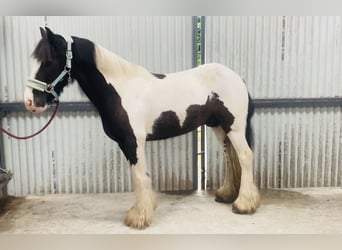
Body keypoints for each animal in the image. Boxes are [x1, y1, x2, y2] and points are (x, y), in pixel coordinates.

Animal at [24, 26, 260, 229]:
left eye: (48, 61)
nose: (30, 102)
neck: (120, 90)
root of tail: (238, 78)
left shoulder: (133, 142)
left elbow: (139, 176)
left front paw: (139, 217)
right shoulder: (128, 144)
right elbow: (139, 176)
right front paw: (143, 209)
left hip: (234, 128)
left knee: (245, 156)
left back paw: (244, 204)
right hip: (219, 127)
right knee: (230, 157)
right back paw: (227, 194)